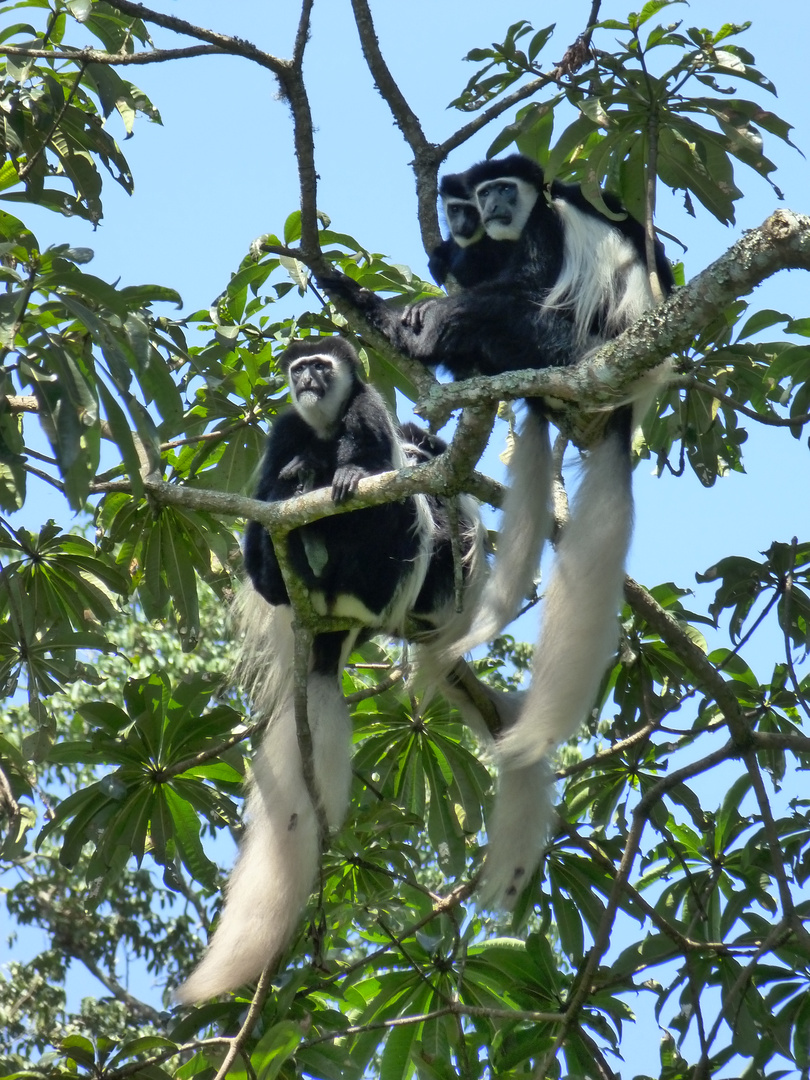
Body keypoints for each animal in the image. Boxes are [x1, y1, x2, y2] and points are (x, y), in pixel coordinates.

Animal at [174, 336, 434, 1002]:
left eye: (323, 366)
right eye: (300, 369)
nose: (311, 378)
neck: (321, 424)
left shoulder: (367, 409)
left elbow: (370, 458)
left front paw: (343, 473)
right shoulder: (285, 427)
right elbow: (270, 476)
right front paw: (293, 483)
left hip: (378, 576)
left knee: (383, 512)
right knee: (267, 522)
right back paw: (285, 547)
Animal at [319, 156, 673, 907]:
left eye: (503, 188)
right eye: (481, 194)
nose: (491, 208)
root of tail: (627, 401)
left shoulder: (545, 229)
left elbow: (522, 282)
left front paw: (428, 303)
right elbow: (478, 265)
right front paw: (440, 263)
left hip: (572, 345)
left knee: (504, 310)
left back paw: (412, 326)